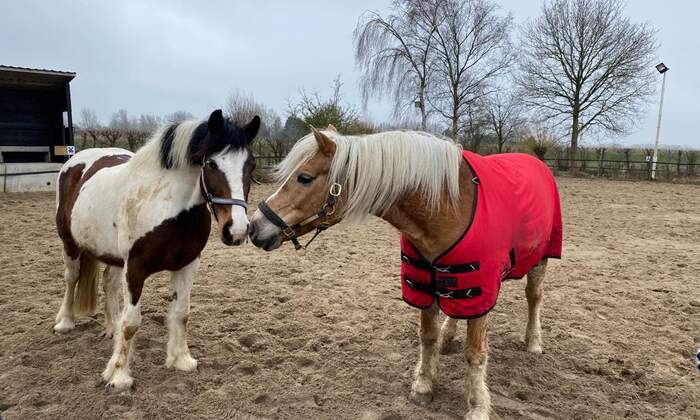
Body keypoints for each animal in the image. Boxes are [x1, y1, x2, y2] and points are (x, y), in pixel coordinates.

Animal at [52, 109, 260, 390]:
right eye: (212, 165)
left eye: (251, 166)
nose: (236, 230)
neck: (168, 209)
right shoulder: (135, 270)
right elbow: (131, 323)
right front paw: (119, 376)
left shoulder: (187, 265)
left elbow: (181, 313)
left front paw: (181, 359)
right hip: (70, 244)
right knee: (71, 278)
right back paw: (65, 322)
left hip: (114, 257)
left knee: (109, 284)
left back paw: (111, 329)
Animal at [250, 128, 564, 420]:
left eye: (304, 177)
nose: (254, 226)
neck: (448, 207)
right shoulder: (427, 284)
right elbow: (427, 337)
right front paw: (424, 385)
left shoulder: (479, 286)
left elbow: (475, 353)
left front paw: (476, 407)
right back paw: (450, 337)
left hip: (538, 261)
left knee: (534, 298)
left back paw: (534, 342)